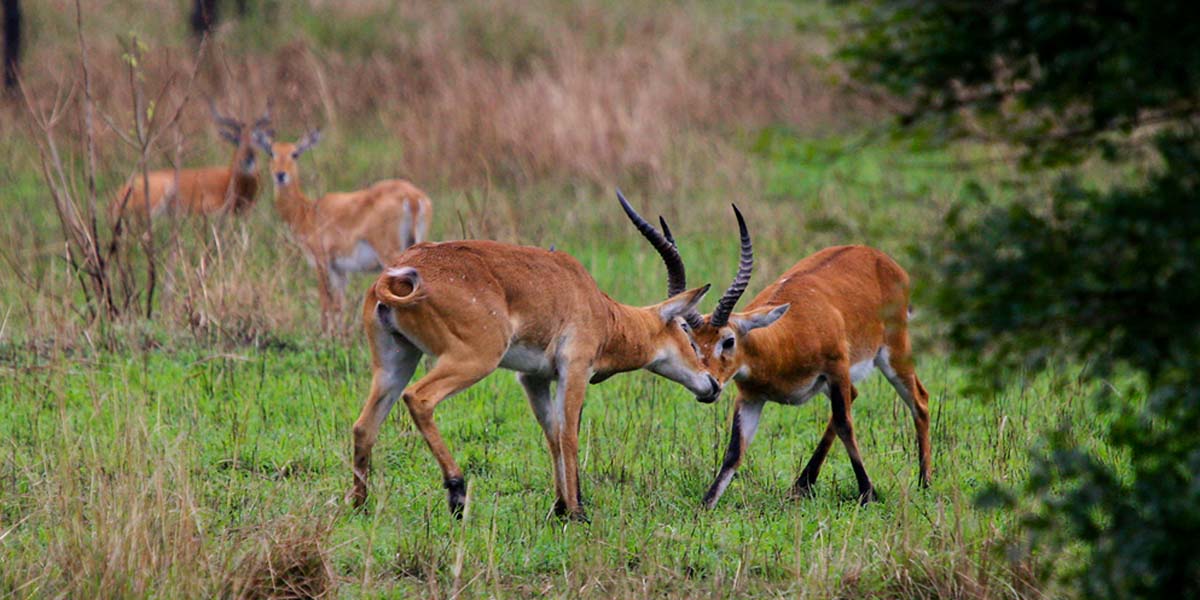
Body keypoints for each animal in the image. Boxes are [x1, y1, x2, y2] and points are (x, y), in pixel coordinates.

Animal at [253, 128, 436, 331]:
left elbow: (326, 300)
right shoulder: (341, 271)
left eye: (295, 153)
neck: (306, 211)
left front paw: (325, 333)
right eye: (272, 152)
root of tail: (412, 197)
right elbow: (339, 304)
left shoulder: (322, 262)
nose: (280, 174)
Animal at [348, 192, 720, 520]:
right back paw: (457, 493)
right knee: (419, 398)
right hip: (474, 359)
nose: (713, 384)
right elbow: (569, 435)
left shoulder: (533, 377)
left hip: (396, 361)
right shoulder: (575, 369)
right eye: (687, 331)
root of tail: (400, 271)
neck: (597, 306)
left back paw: (360, 505)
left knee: (364, 425)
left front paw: (560, 507)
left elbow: (552, 434)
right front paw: (576, 512)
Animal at [672, 206, 931, 506]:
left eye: (728, 340)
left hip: (893, 352)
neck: (781, 341)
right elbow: (735, 451)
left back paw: (925, 483)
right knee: (856, 396)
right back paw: (801, 484)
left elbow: (845, 424)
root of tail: (880, 257)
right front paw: (705, 505)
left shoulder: (837, 368)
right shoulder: (750, 398)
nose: (709, 387)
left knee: (919, 400)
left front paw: (869, 493)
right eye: (692, 343)